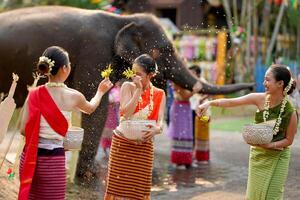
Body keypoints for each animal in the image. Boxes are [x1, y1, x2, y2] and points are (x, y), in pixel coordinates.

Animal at [0, 5, 253, 184]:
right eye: (166, 50)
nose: (252, 85)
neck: (123, 19)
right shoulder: (95, 54)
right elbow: (96, 108)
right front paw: (90, 176)